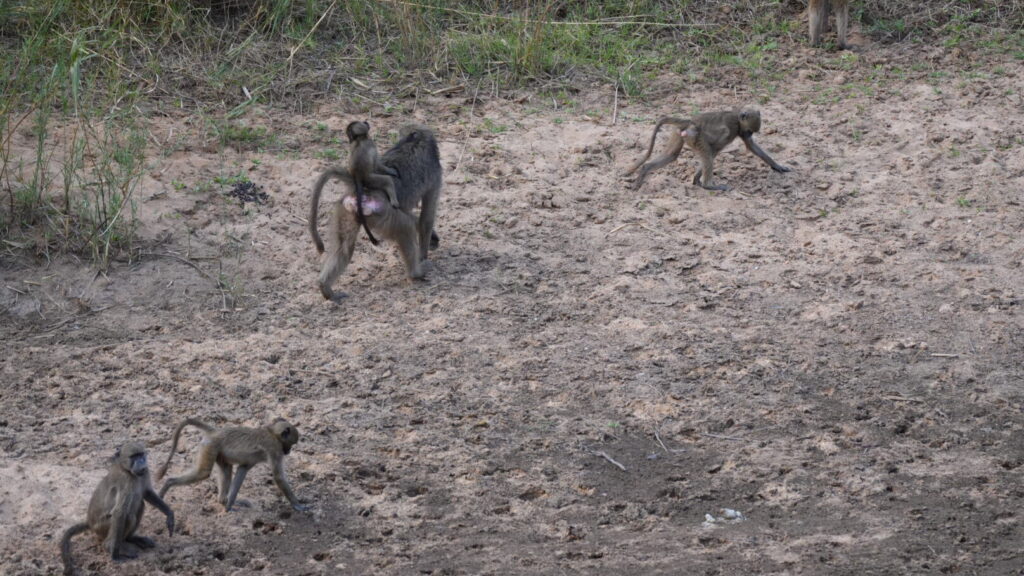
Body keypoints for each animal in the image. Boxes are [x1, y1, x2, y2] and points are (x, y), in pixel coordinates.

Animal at [60, 441, 174, 576]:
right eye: (134, 456)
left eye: (141, 454)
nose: (141, 463)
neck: (127, 470)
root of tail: (90, 523)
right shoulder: (126, 481)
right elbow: (119, 512)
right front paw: (114, 554)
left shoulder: (145, 472)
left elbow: (147, 493)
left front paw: (170, 515)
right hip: (102, 526)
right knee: (128, 515)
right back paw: (110, 545)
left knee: (140, 505)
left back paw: (132, 538)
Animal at [156, 418, 309, 512]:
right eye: (291, 444)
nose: (288, 451)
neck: (272, 433)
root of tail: (215, 431)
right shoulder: (275, 449)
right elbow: (278, 477)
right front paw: (298, 505)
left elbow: (242, 469)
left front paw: (229, 506)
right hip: (210, 446)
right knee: (203, 473)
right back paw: (168, 484)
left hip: (216, 451)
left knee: (226, 470)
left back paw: (223, 501)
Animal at [309, 123, 443, 301]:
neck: (416, 141)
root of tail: (359, 185)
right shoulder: (435, 176)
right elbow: (426, 219)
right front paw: (424, 255)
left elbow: (418, 219)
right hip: (382, 213)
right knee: (405, 226)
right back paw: (416, 273)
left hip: (346, 211)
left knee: (344, 249)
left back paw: (326, 289)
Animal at [625, 109, 791, 192]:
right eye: (750, 130)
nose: (749, 134)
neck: (737, 117)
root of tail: (689, 121)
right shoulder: (732, 129)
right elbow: (714, 151)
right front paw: (700, 181)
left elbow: (751, 146)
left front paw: (777, 166)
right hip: (695, 137)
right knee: (707, 153)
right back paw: (709, 186)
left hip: (679, 134)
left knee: (671, 155)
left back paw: (645, 170)